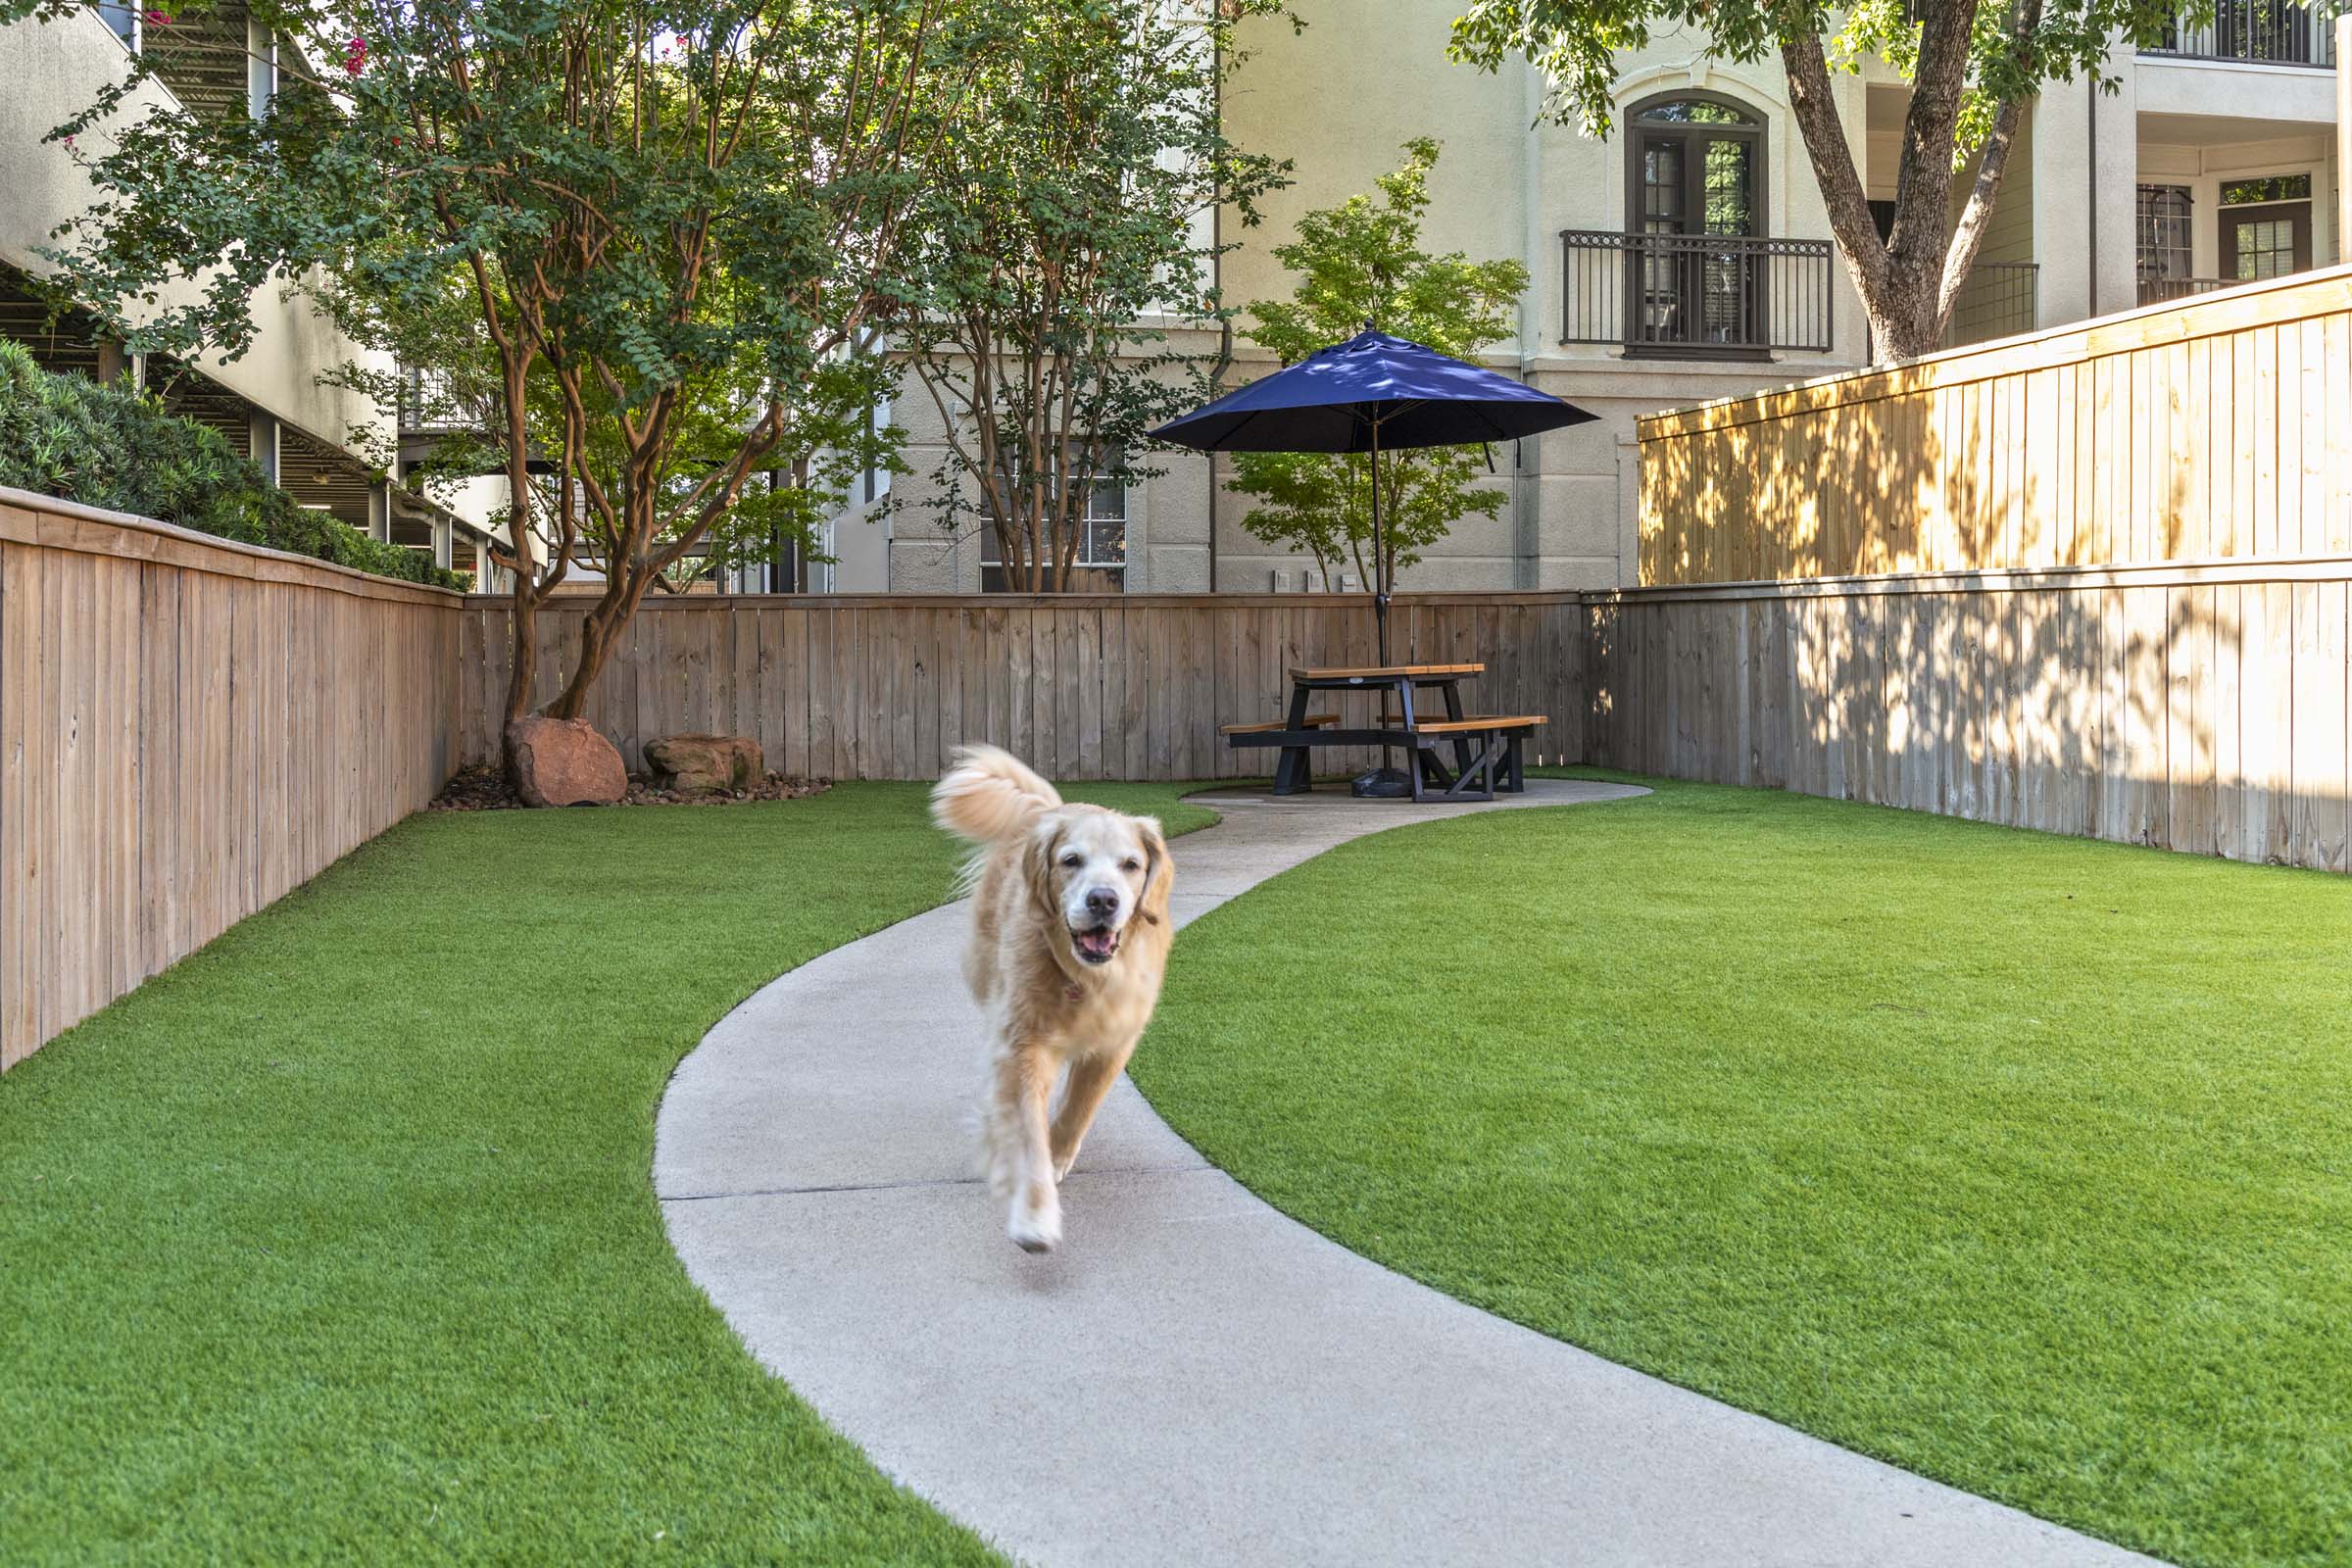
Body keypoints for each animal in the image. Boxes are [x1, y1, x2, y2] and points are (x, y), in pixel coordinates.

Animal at [921, 747, 1171, 1250]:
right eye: (1071, 860)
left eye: (1131, 864)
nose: (1103, 900)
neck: (1083, 977)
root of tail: (1046, 810)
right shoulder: (1024, 1043)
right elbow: (1028, 1132)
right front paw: (1035, 1215)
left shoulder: (1114, 1043)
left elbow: (1078, 1110)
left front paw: (1059, 1153)